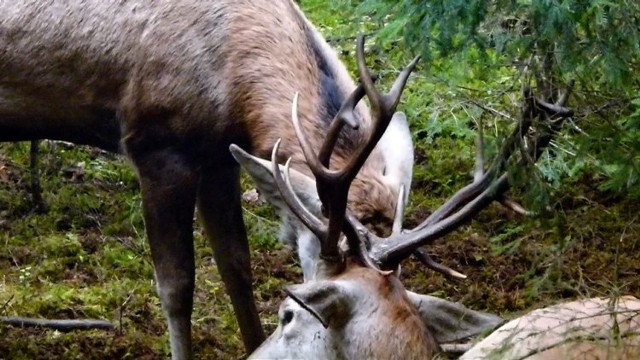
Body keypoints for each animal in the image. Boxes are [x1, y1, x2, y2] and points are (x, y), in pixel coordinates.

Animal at [0, 0, 416, 358]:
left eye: (395, 277)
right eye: (332, 273)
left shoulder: (219, 159)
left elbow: (237, 267)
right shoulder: (157, 145)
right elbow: (177, 287)